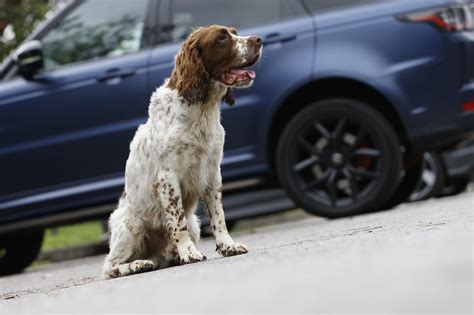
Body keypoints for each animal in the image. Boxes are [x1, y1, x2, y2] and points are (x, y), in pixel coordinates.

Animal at [102, 25, 262, 280]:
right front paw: (189, 253)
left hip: (194, 222)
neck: (201, 108)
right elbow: (177, 221)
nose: (258, 40)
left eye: (235, 32)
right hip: (130, 225)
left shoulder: (212, 172)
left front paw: (228, 246)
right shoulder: (168, 177)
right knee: (109, 266)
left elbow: (219, 216)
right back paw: (138, 264)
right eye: (222, 38)